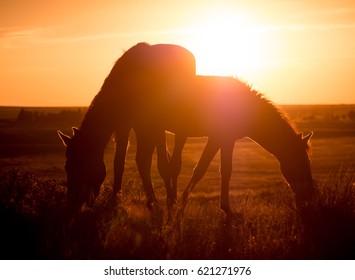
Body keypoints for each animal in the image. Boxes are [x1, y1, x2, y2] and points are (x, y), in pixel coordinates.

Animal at [58, 42, 197, 211]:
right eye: (67, 167)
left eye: (79, 165)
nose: (72, 204)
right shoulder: (125, 126)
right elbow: (121, 162)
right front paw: (116, 200)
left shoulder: (154, 124)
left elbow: (162, 165)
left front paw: (168, 202)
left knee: (173, 163)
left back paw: (173, 198)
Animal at [156, 75, 314, 213]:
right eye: (304, 161)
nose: (309, 196)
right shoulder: (223, 138)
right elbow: (219, 170)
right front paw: (225, 209)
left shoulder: (220, 138)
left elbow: (211, 169)